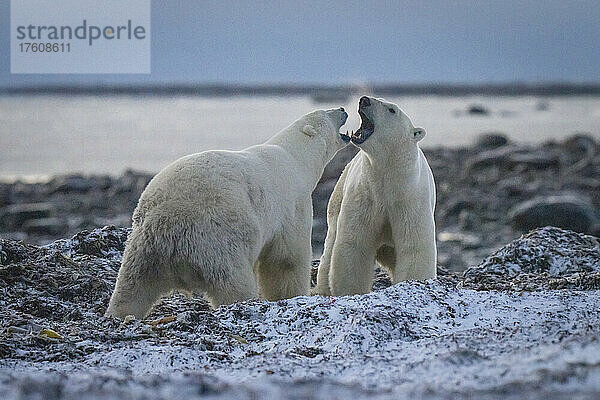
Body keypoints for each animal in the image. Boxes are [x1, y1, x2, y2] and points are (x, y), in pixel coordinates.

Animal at [106, 107, 350, 318]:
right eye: (327, 113)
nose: (342, 109)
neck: (294, 157)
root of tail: (168, 227)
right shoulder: (291, 203)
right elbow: (285, 258)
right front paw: (291, 295)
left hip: (144, 248)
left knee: (133, 286)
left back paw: (119, 314)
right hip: (217, 242)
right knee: (234, 283)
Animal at [314, 96, 436, 296]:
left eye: (392, 110)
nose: (364, 100)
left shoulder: (410, 199)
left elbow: (414, 245)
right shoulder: (366, 194)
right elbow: (354, 244)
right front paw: (351, 290)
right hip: (337, 199)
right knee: (330, 245)